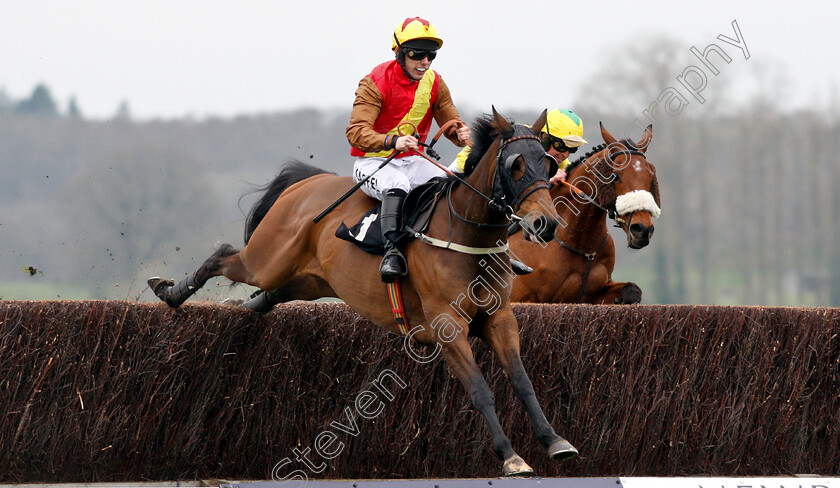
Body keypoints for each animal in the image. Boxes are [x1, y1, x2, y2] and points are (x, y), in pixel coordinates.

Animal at [148, 108, 576, 474]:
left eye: (548, 164)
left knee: (269, 296)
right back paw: (170, 292)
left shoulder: (499, 318)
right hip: (266, 260)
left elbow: (523, 382)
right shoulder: (447, 325)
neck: (468, 236)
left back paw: (237, 306)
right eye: (515, 165)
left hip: (308, 280)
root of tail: (308, 182)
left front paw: (555, 441)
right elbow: (480, 390)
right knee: (224, 256)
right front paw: (511, 457)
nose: (546, 224)